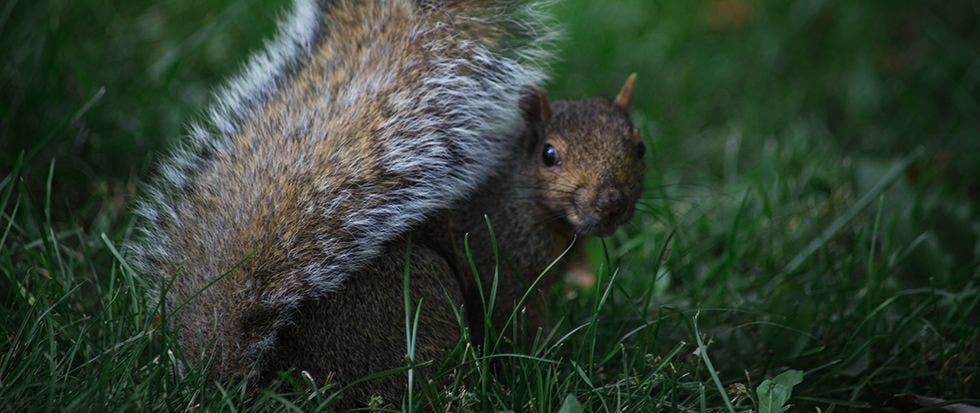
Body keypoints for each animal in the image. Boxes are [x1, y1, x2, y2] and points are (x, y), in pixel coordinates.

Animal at [272, 76, 648, 406]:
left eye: (640, 148)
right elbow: (512, 323)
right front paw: (540, 369)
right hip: (415, 296)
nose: (610, 203)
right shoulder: (500, 264)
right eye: (549, 154)